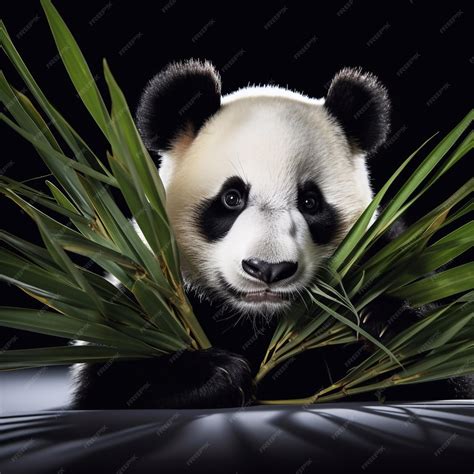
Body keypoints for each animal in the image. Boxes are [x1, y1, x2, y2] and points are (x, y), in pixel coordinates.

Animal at [71, 60, 474, 408]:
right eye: (232, 198)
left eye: (310, 202)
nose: (268, 269)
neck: (258, 319)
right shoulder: (143, 286)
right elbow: (113, 381)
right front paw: (216, 374)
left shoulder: (388, 253)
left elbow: (436, 366)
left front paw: (374, 320)